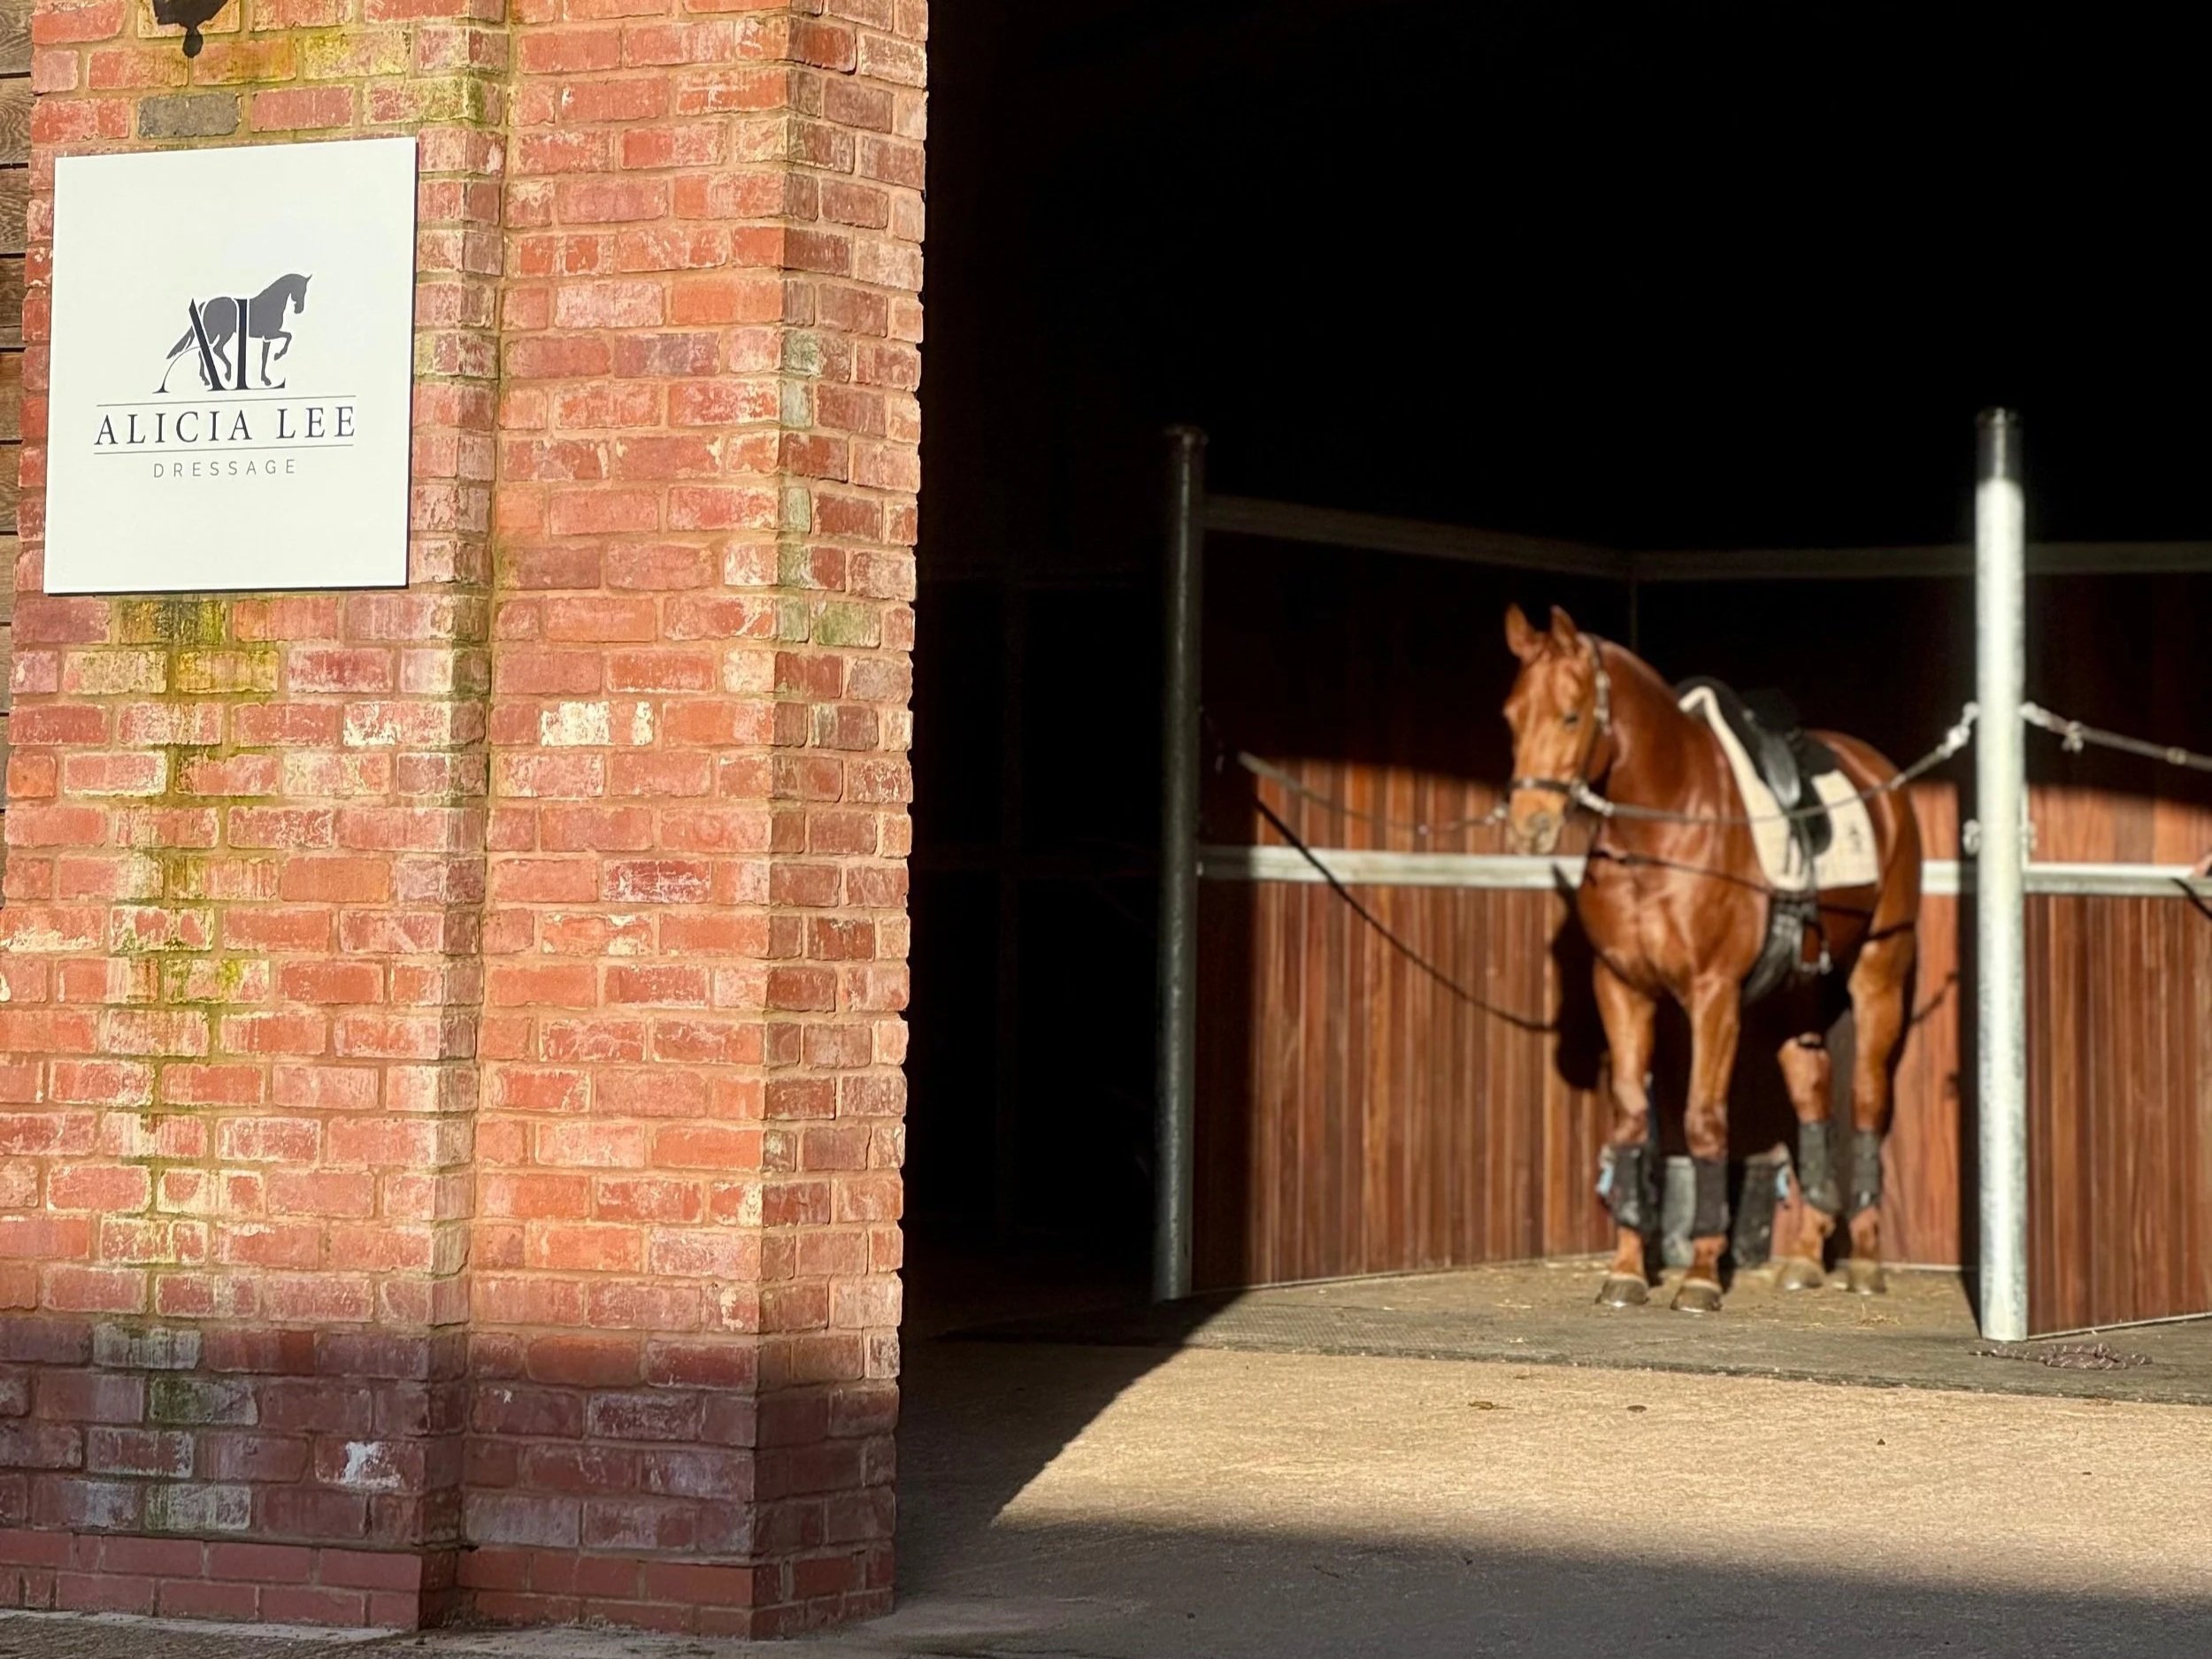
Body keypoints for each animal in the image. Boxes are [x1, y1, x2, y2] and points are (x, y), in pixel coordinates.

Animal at [156, 274, 312, 394]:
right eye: (300, 289)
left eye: (305, 291)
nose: (299, 309)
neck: (272, 303)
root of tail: (205, 303)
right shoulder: (270, 333)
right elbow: (288, 336)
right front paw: (278, 355)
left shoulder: (266, 338)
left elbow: (265, 357)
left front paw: (265, 379)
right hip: (217, 333)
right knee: (207, 350)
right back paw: (218, 376)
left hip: (223, 333)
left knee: (212, 349)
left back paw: (219, 375)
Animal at [1501, 604, 1922, 1313]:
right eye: (1510, 715)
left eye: (1571, 715)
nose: (1529, 825)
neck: (1667, 826)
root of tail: (1880, 778)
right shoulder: (1623, 989)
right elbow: (1632, 1123)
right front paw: (1627, 1271)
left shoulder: (1712, 995)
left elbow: (1703, 1122)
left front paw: (1699, 1275)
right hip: (1791, 998)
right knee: (1814, 1097)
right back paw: (1806, 1255)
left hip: (1879, 973)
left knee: (1866, 1100)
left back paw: (1864, 1261)